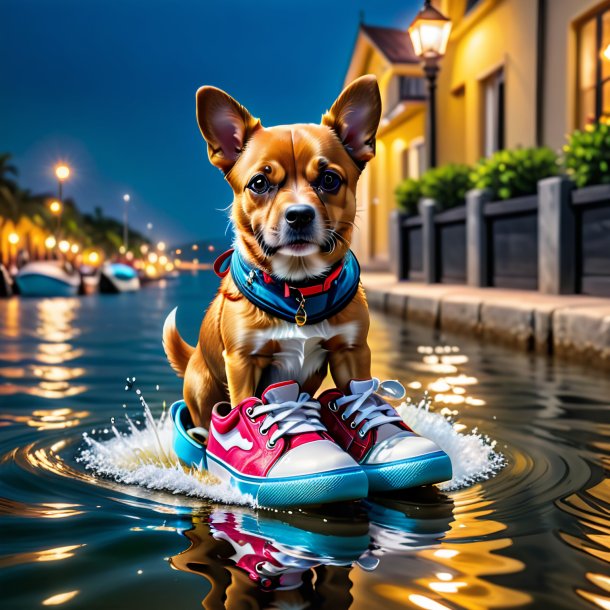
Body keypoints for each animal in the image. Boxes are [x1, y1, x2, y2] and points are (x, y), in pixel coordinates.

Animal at [162, 76, 380, 428]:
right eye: (259, 183)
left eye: (329, 180)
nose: (299, 214)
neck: (299, 288)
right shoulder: (243, 362)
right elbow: (243, 405)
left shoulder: (352, 352)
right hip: (202, 388)